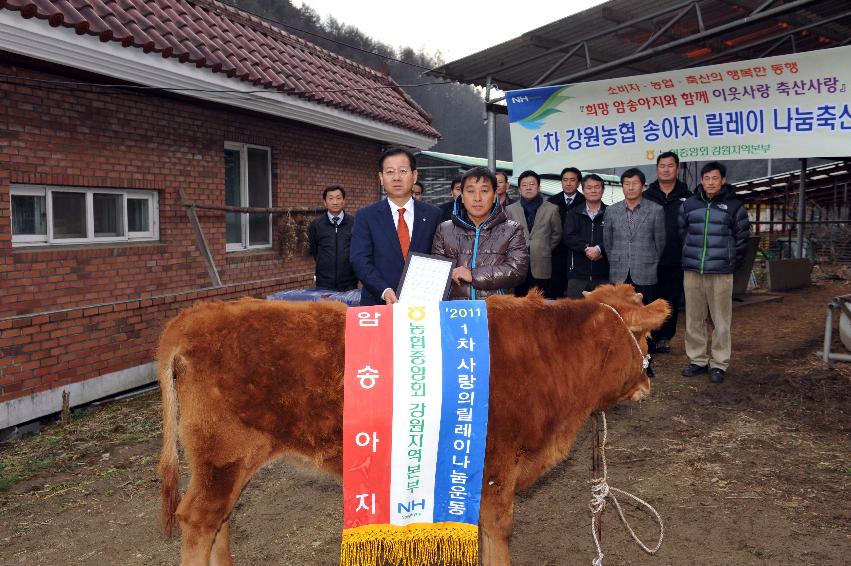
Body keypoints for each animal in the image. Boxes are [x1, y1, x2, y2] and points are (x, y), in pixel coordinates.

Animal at [156, 286, 668, 564]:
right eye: (644, 336)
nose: (648, 382)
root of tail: (196, 315)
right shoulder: (497, 467)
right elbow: (498, 531)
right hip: (223, 455)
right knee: (198, 520)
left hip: (224, 464)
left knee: (219, 521)